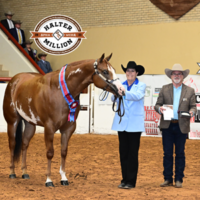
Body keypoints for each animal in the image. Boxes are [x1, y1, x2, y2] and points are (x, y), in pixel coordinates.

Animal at [2, 52, 125, 186]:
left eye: (114, 70)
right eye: (105, 71)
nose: (121, 90)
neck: (59, 91)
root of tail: (14, 80)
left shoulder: (68, 128)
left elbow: (64, 152)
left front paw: (64, 178)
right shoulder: (49, 128)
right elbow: (50, 153)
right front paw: (49, 180)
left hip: (30, 123)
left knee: (24, 144)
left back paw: (24, 172)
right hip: (12, 121)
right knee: (12, 144)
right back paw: (12, 172)